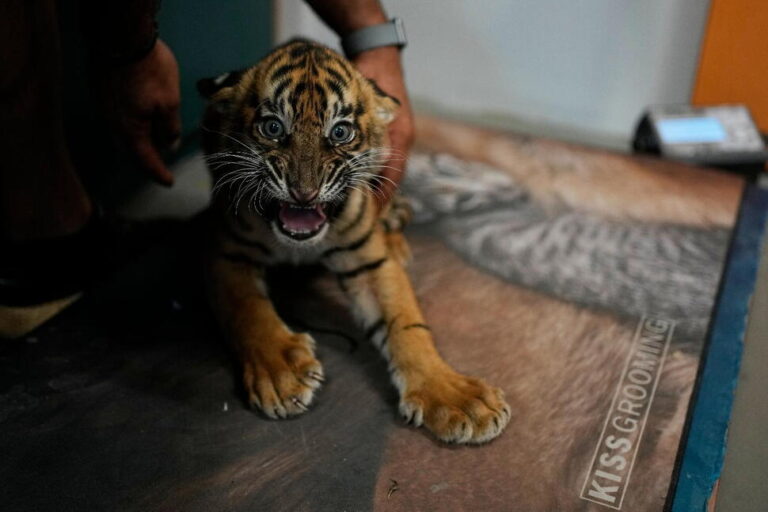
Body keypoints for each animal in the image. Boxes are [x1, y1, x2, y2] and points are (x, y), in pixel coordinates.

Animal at [197, 40, 510, 444]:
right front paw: (280, 374)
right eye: (273, 127)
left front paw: (454, 396)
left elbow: (407, 326)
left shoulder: (369, 261)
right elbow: (249, 311)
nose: (304, 193)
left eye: (340, 132)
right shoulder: (227, 253)